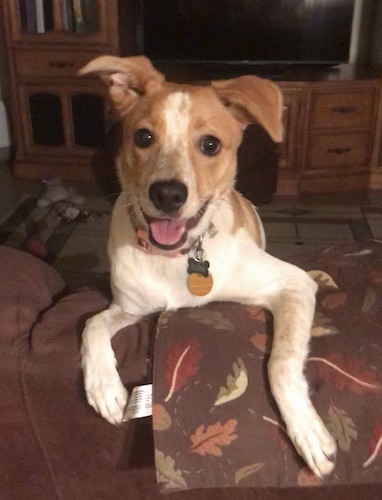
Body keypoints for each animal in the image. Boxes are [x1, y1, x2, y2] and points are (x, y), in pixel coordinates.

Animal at [79, 54, 336, 476]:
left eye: (210, 144)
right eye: (143, 137)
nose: (167, 194)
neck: (176, 258)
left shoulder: (290, 284)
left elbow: (281, 363)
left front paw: (309, 432)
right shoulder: (130, 307)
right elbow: (92, 323)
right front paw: (105, 389)